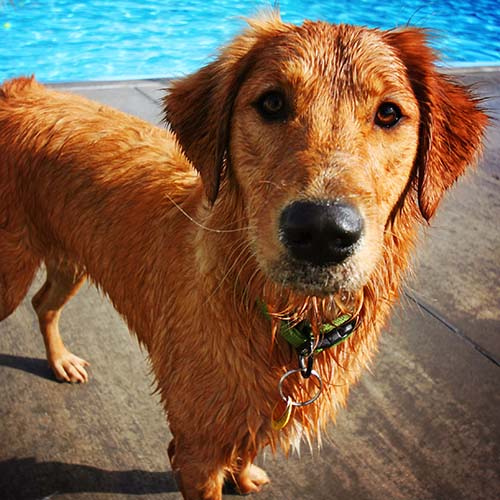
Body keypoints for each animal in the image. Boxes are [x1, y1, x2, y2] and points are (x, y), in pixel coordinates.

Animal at [0, 13, 484, 500]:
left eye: (389, 113)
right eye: (271, 102)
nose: (323, 232)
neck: (286, 321)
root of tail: (17, 92)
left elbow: (249, 443)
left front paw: (245, 473)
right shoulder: (194, 452)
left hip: (70, 260)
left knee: (44, 304)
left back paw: (61, 361)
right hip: (11, 273)